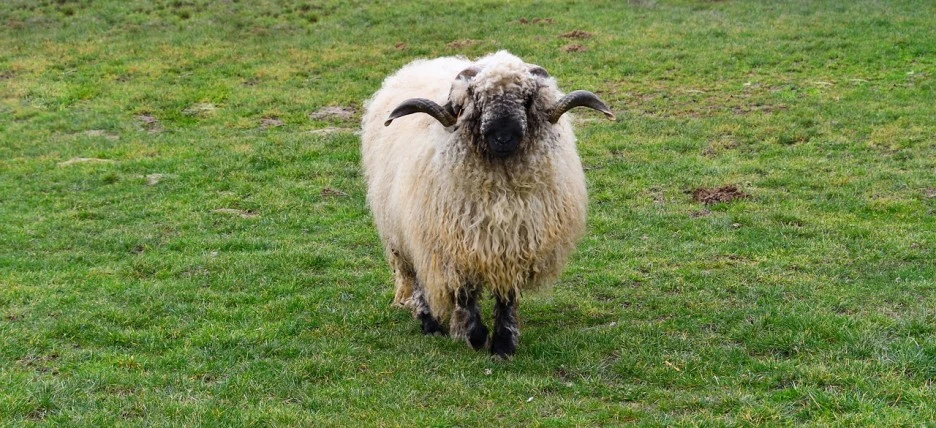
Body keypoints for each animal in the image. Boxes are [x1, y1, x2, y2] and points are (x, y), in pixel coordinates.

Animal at [360, 51, 613, 358]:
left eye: (527, 98)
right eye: (477, 99)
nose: (503, 137)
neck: (499, 189)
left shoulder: (514, 247)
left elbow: (507, 297)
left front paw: (503, 344)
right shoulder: (455, 245)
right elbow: (465, 293)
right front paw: (475, 336)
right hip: (402, 232)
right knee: (416, 276)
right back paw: (429, 322)